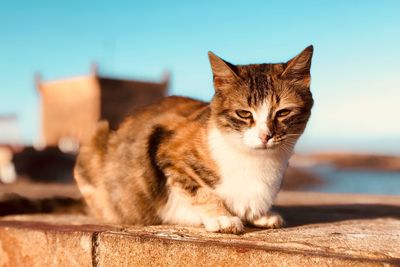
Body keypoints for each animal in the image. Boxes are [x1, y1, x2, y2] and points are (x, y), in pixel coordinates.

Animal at [73, 46, 314, 234]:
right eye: (244, 114)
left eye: (283, 112)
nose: (265, 136)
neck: (255, 161)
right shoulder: (166, 149)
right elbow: (198, 190)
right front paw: (222, 217)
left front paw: (261, 215)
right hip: (95, 139)